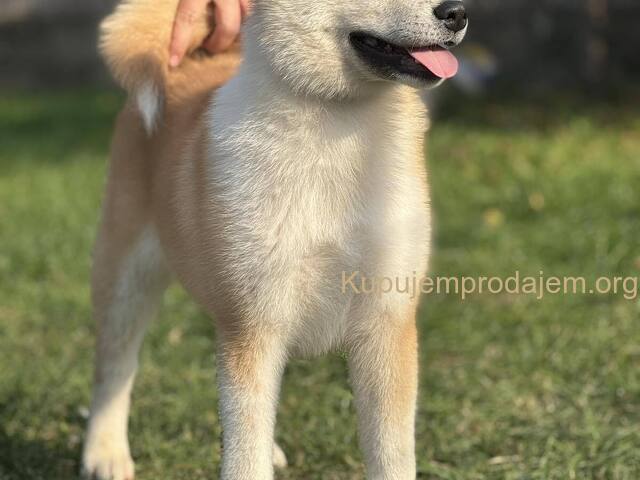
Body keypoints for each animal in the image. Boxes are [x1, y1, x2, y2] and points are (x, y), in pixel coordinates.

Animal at [81, 0, 467, 478]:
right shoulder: (252, 323)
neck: (334, 115)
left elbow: (391, 454)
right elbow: (244, 455)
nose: (457, 13)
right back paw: (105, 453)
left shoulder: (386, 318)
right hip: (126, 279)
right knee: (114, 368)